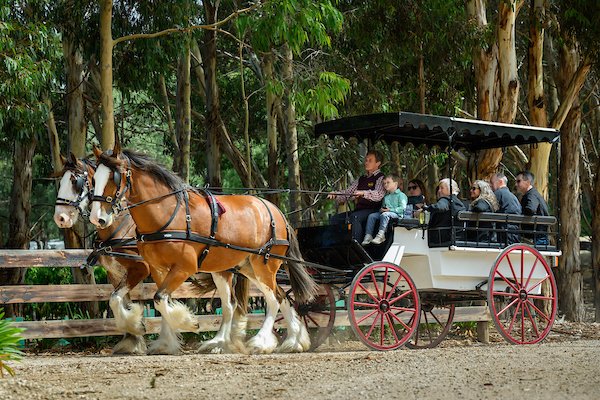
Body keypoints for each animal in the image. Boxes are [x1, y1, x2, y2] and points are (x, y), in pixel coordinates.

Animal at [88, 146, 316, 354]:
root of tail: (277, 212)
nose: (97, 218)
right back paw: (288, 342)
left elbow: (160, 300)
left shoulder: (183, 268)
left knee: (273, 300)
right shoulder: (157, 269)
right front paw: (157, 338)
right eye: (94, 179)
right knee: (265, 299)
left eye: (113, 178)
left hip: (264, 266)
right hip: (244, 268)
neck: (168, 214)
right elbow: (128, 299)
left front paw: (188, 323)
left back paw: (261, 342)